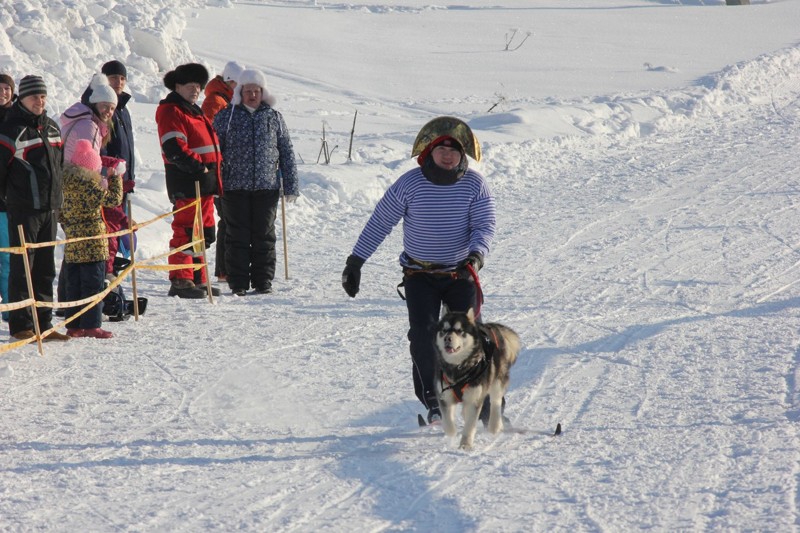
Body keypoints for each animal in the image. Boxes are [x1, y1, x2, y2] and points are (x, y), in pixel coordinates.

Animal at [434, 304, 520, 448]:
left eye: (459, 330)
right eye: (444, 330)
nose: (447, 338)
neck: (458, 368)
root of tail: (493, 327)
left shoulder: (474, 398)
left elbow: (470, 424)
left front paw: (465, 444)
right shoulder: (445, 395)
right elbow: (448, 423)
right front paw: (452, 433)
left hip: (497, 380)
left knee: (495, 402)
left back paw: (495, 425)